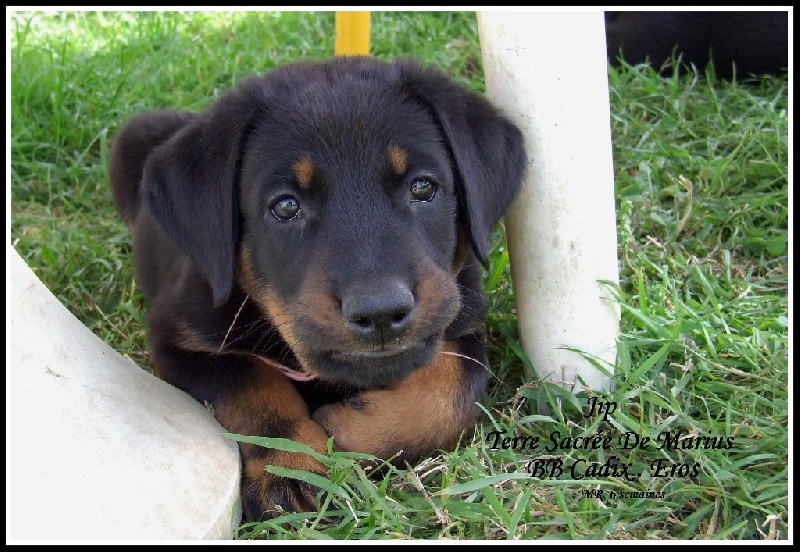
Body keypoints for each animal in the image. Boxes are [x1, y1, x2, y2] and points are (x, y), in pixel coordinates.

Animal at [109, 57, 528, 520]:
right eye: (286, 206)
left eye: (422, 187)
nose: (380, 312)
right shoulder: (180, 340)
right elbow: (252, 383)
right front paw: (290, 465)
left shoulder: (462, 316)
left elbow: (458, 389)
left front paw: (349, 431)